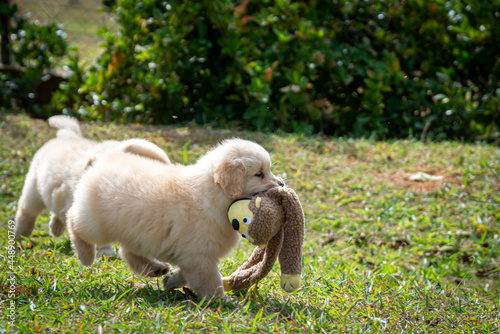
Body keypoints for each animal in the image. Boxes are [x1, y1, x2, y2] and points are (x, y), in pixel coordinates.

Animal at [14, 115, 170, 258]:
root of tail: (67, 135)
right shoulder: (90, 214)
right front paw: (106, 252)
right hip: (34, 188)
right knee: (26, 212)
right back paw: (20, 235)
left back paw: (55, 227)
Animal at [67, 137, 284, 298]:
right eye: (259, 173)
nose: (282, 184)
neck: (215, 195)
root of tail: (107, 157)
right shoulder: (200, 257)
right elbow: (210, 281)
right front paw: (223, 301)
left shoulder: (193, 257)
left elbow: (186, 274)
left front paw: (170, 280)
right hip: (95, 223)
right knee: (74, 222)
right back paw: (85, 256)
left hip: (136, 232)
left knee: (129, 253)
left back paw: (155, 269)